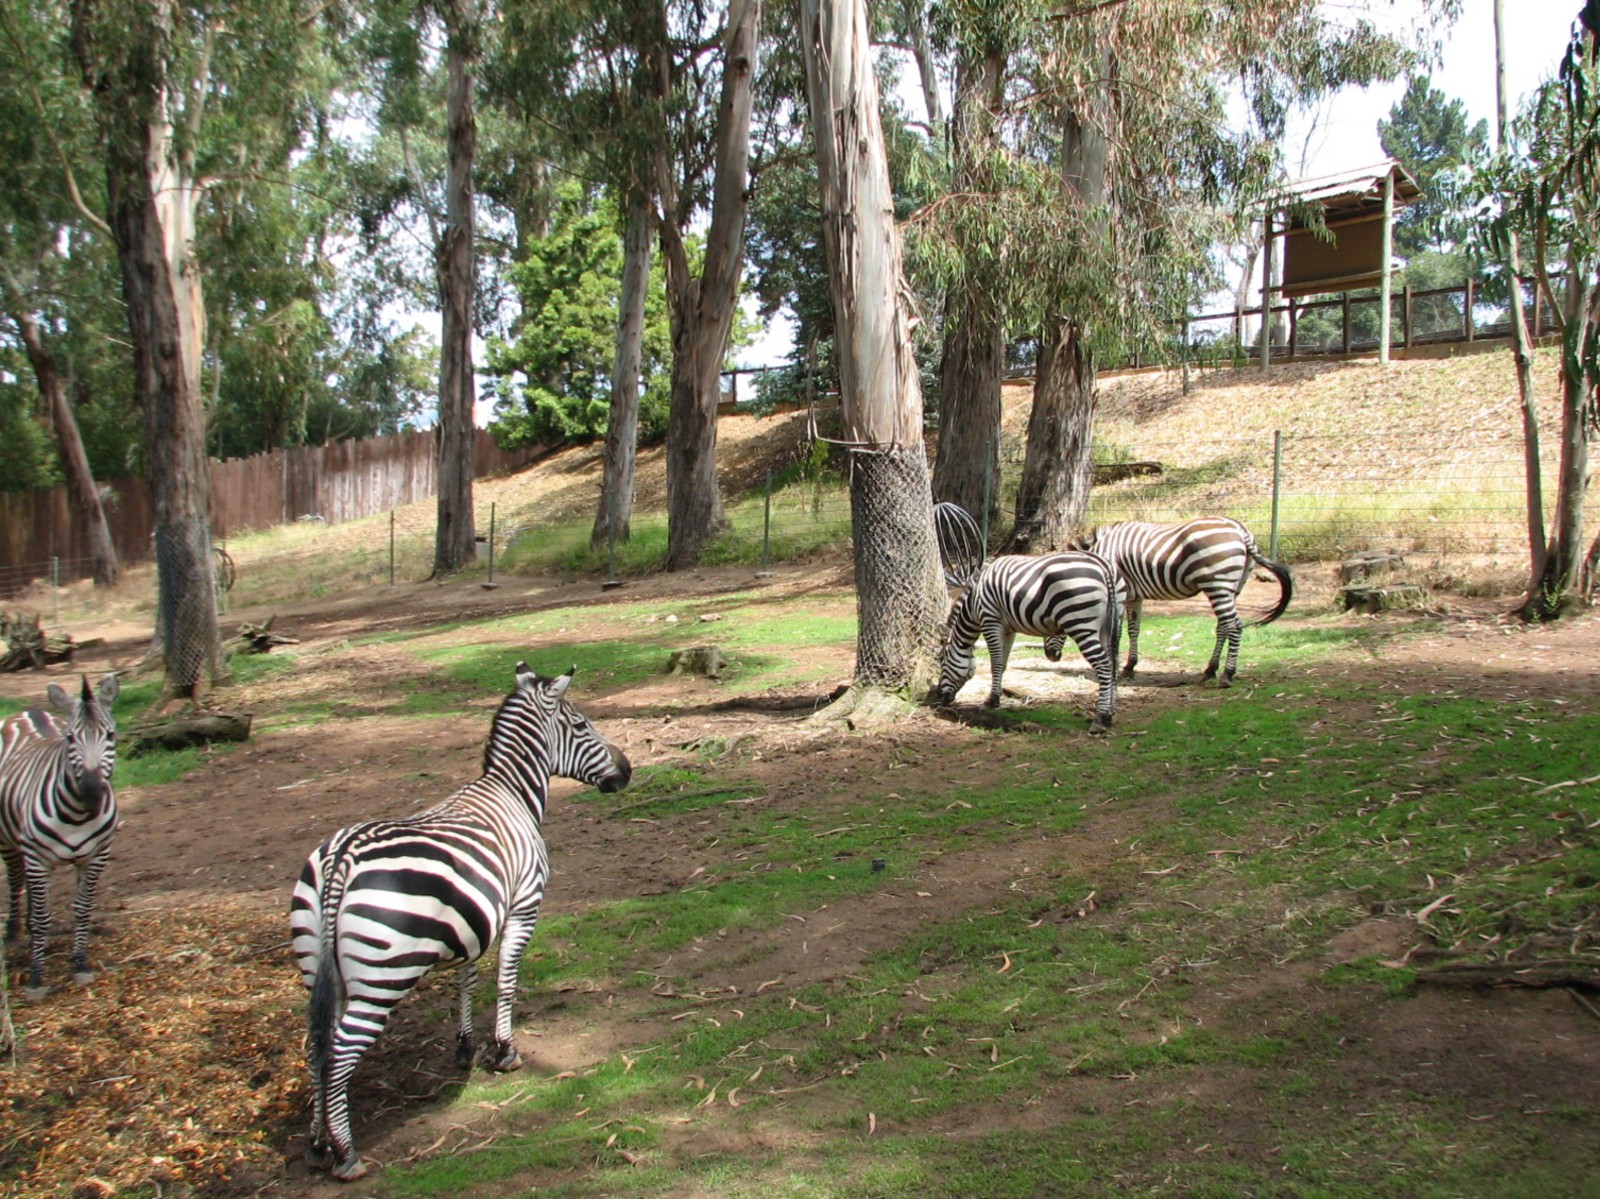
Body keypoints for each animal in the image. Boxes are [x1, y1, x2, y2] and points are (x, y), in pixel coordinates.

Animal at [0, 673, 120, 998]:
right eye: (70, 739)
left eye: (110, 736)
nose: (92, 793)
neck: (78, 815)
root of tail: (29, 711)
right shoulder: (37, 858)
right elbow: (43, 916)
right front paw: (36, 978)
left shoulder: (96, 857)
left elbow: (83, 909)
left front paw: (80, 963)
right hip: (10, 841)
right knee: (15, 878)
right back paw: (14, 932)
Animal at [290, 664, 630, 1182]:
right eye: (581, 725)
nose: (627, 770)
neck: (511, 792)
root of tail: (342, 857)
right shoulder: (524, 904)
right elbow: (506, 978)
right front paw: (505, 1051)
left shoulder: (474, 921)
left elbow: (466, 979)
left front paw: (467, 1047)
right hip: (382, 977)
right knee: (341, 1051)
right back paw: (345, 1153)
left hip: (317, 964)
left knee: (316, 1044)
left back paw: (317, 1144)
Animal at [934, 552, 1123, 732]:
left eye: (942, 661)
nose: (940, 697)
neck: (973, 603)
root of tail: (1103, 566)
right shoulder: (1009, 629)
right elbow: (1003, 664)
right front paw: (996, 696)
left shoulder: (990, 620)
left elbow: (995, 663)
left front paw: (991, 700)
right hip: (1111, 622)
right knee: (1113, 663)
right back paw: (1111, 714)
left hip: (1080, 623)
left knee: (1103, 665)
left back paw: (1100, 719)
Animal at [1047, 517, 1293, 686]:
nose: (1051, 657)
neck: (1101, 552)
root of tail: (1242, 530)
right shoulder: (1134, 596)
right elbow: (1134, 630)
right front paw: (1129, 667)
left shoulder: (1119, 594)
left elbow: (1117, 633)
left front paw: (1116, 667)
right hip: (1233, 587)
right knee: (1223, 625)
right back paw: (1210, 670)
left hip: (1217, 583)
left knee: (1234, 626)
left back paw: (1227, 674)